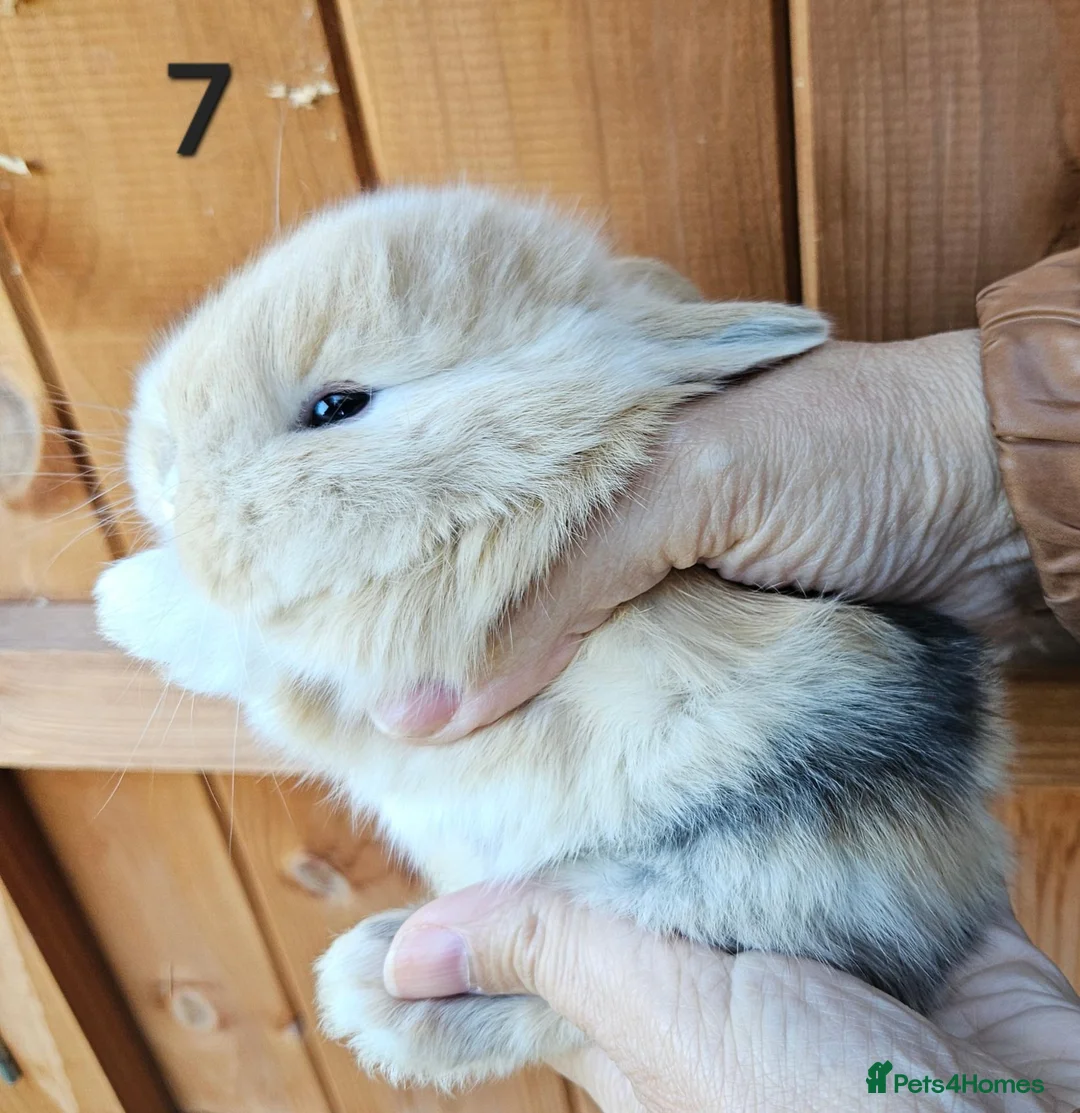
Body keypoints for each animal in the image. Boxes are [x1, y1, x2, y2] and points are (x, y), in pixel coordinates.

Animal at [94, 185, 1011, 1091]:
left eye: (336, 406)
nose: (160, 470)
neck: (524, 472)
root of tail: (957, 889)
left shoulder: (406, 638)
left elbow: (251, 631)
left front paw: (120, 597)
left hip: (738, 877)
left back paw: (376, 991)